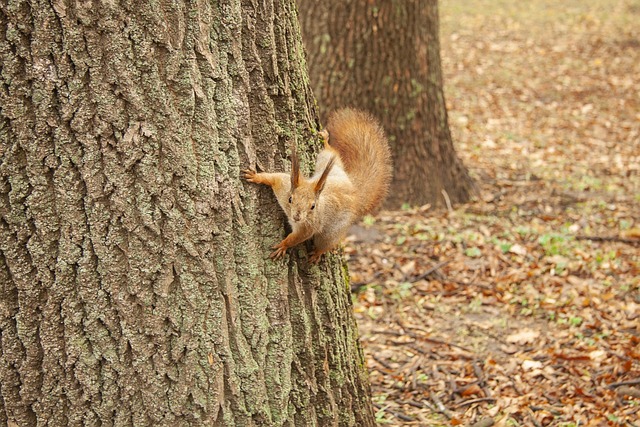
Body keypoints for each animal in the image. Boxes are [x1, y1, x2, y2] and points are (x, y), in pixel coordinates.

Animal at [242, 108, 392, 262]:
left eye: (313, 206)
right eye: (290, 199)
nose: (297, 217)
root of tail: (354, 192)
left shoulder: (308, 226)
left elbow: (296, 238)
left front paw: (283, 246)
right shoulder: (283, 186)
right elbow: (273, 177)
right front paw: (256, 176)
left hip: (332, 232)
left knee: (325, 243)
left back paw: (317, 253)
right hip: (332, 166)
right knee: (331, 153)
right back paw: (325, 141)